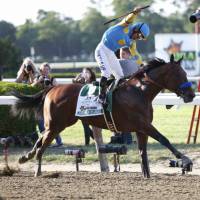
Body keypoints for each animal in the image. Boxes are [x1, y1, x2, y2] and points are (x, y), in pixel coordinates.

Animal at [11, 54, 195, 177]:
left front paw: (147, 175)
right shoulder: (143, 124)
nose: (191, 95)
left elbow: (143, 153)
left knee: (40, 137)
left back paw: (25, 157)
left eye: (185, 73)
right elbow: (164, 139)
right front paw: (186, 160)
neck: (139, 91)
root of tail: (52, 88)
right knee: (42, 145)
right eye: (178, 75)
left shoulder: (140, 129)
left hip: (57, 124)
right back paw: (37, 170)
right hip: (57, 124)